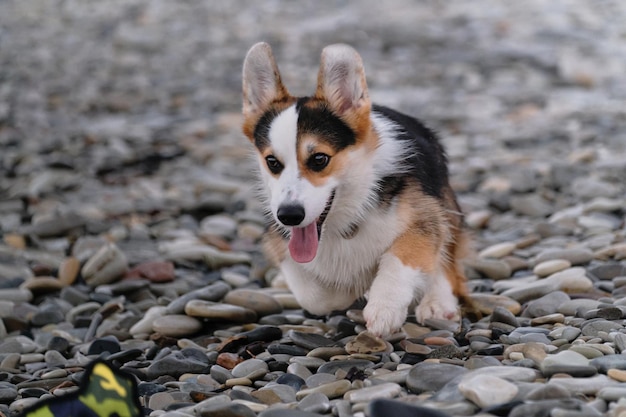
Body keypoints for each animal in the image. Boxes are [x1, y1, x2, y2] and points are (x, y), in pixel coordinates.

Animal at [241, 42, 466, 334]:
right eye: (272, 162)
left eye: (319, 159)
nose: (289, 216)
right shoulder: (277, 239)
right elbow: (316, 297)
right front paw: (351, 289)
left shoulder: (425, 221)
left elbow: (401, 258)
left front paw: (384, 307)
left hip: (446, 208)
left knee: (445, 259)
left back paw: (437, 302)